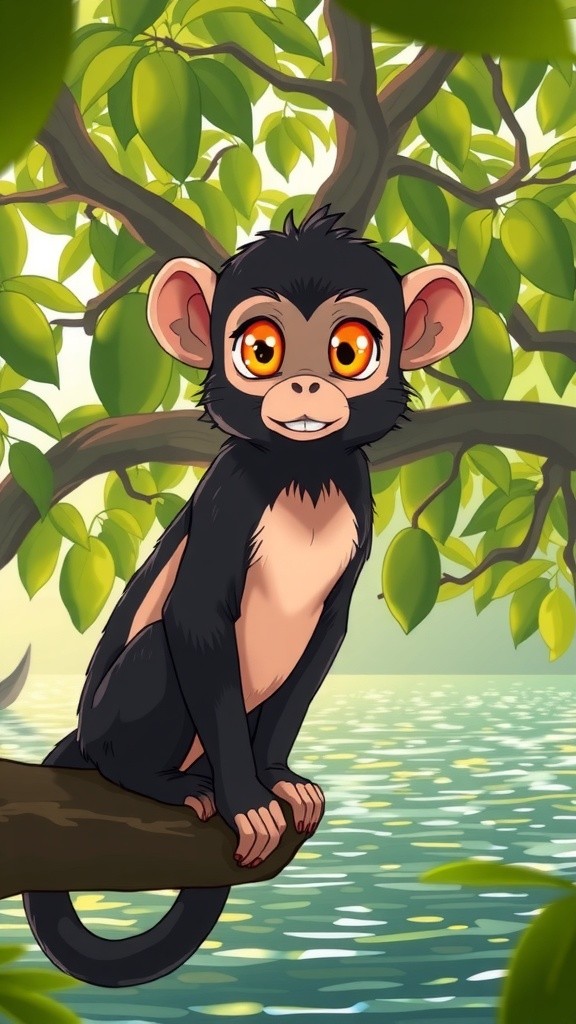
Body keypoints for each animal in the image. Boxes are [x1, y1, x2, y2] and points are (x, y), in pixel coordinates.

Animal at [21, 206, 472, 987]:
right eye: (261, 351)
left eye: (348, 351)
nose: (304, 387)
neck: (303, 474)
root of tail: (82, 732)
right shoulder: (230, 494)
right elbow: (195, 620)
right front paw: (246, 798)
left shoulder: (358, 498)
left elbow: (327, 635)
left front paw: (277, 778)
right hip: (114, 720)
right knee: (156, 654)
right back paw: (155, 780)